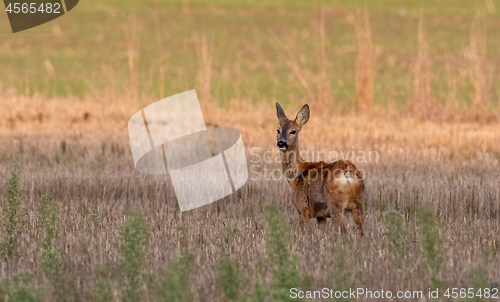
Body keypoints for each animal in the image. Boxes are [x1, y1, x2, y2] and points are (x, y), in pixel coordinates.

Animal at [276, 102, 366, 235]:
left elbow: (304, 234)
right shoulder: (321, 216)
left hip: (335, 206)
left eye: (293, 131)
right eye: (278, 130)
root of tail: (347, 173)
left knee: (343, 232)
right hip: (359, 204)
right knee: (361, 233)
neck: (296, 176)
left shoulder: (302, 208)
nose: (281, 143)